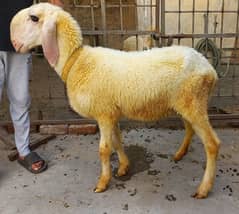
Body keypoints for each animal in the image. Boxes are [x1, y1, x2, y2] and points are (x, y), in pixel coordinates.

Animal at [10, 2, 220, 199]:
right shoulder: (111, 113)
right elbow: (117, 141)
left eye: (34, 18)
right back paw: (179, 154)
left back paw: (204, 188)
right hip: (186, 104)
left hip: (194, 103)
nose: (13, 42)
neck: (76, 61)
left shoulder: (103, 113)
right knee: (190, 128)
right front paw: (123, 167)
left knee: (212, 144)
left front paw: (103, 182)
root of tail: (209, 68)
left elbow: (104, 149)